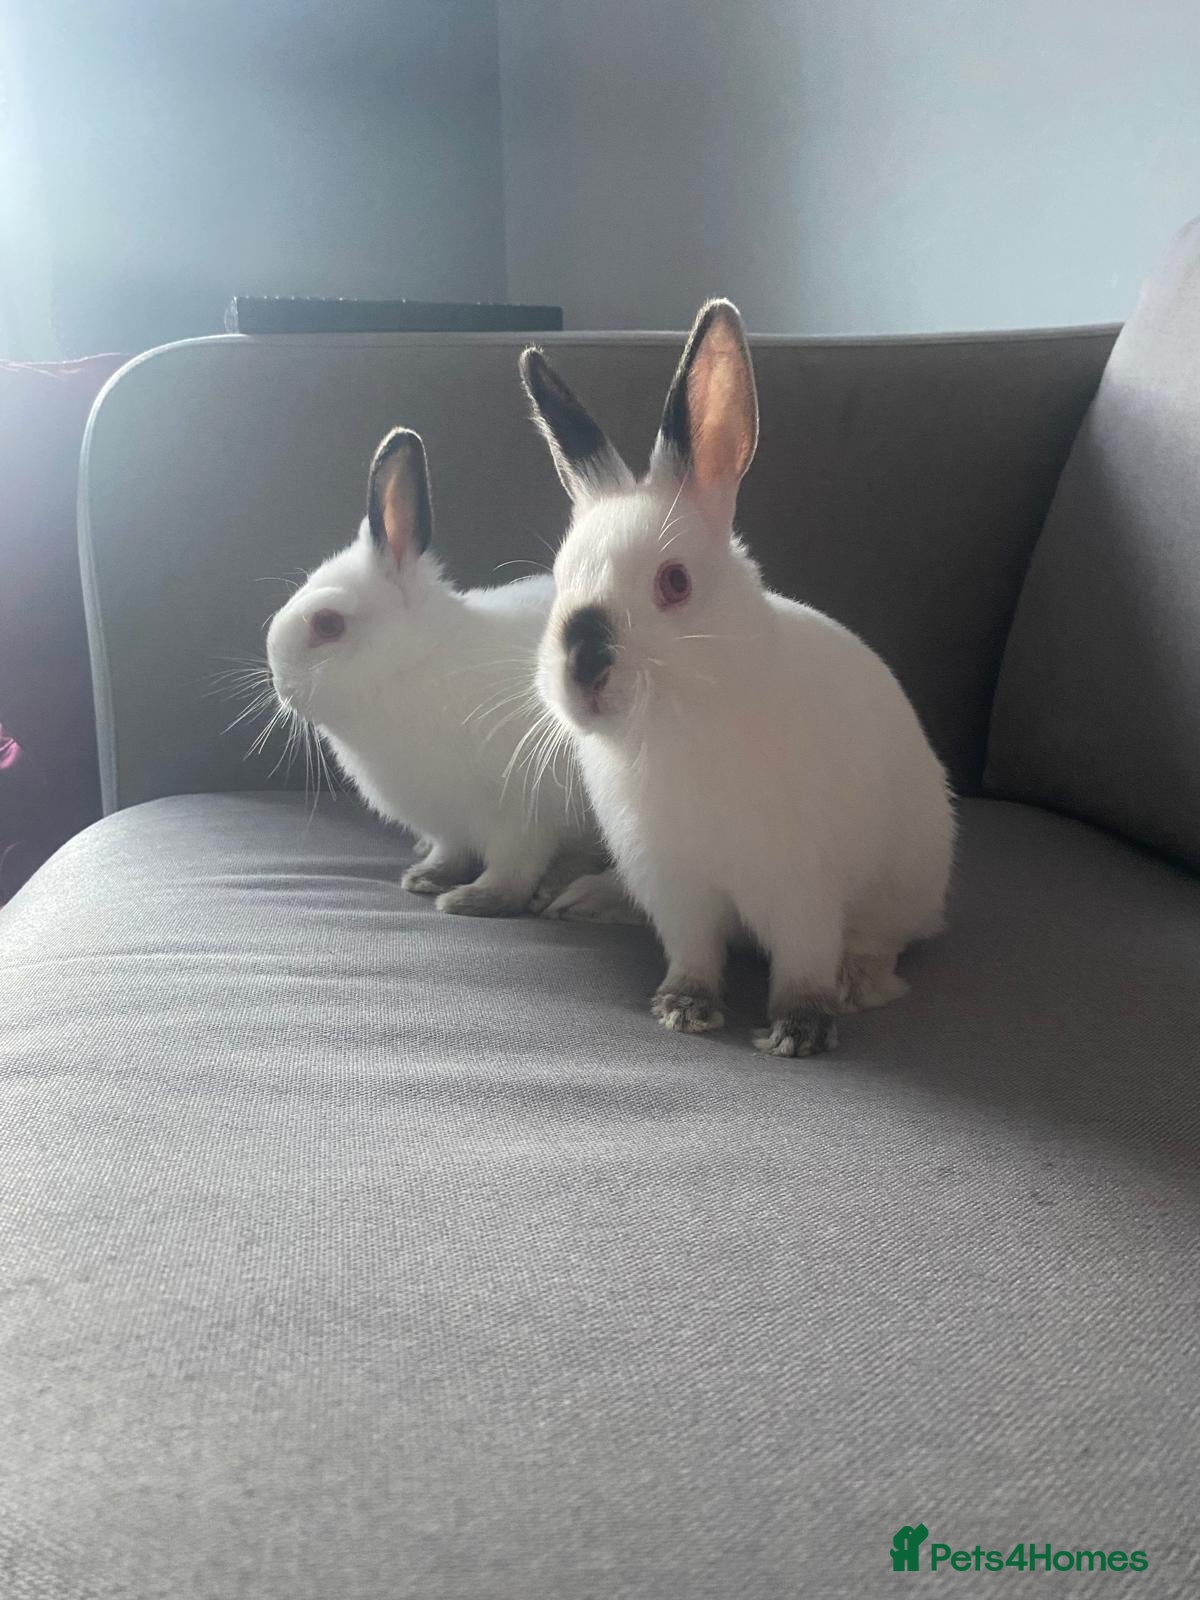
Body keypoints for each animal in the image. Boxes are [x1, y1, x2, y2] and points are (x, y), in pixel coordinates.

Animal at [264, 425, 638, 922]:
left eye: (327, 625)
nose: (278, 683)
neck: (415, 665)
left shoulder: (522, 816)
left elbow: (513, 868)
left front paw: (473, 899)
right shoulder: (451, 823)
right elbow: (451, 851)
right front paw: (426, 877)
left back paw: (579, 898)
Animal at [519, 299, 955, 1055]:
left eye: (674, 583)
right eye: (561, 578)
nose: (583, 667)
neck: (676, 724)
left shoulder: (801, 888)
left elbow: (804, 961)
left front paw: (799, 1032)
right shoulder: (676, 888)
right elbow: (693, 954)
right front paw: (683, 1008)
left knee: (886, 939)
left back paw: (860, 982)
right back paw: (584, 898)